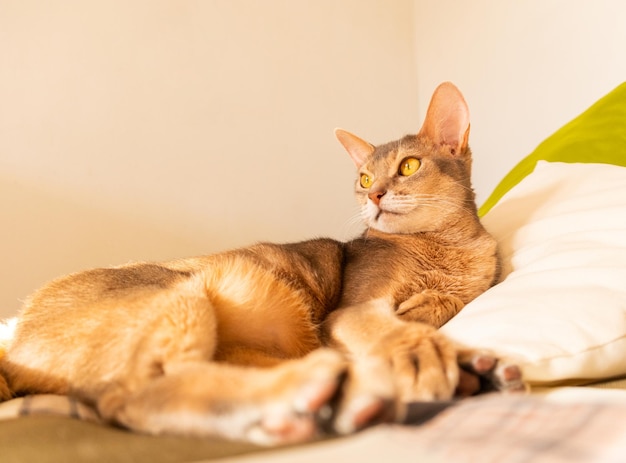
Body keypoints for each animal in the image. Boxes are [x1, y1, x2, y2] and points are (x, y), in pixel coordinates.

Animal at [0, 82, 520, 446]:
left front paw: (436, 325)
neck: (447, 245)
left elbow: (440, 305)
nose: (373, 196)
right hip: (175, 296)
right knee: (131, 399)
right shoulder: (352, 309)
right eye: (364, 178)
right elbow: (388, 324)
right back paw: (309, 398)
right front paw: (417, 350)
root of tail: (16, 333)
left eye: (409, 166)